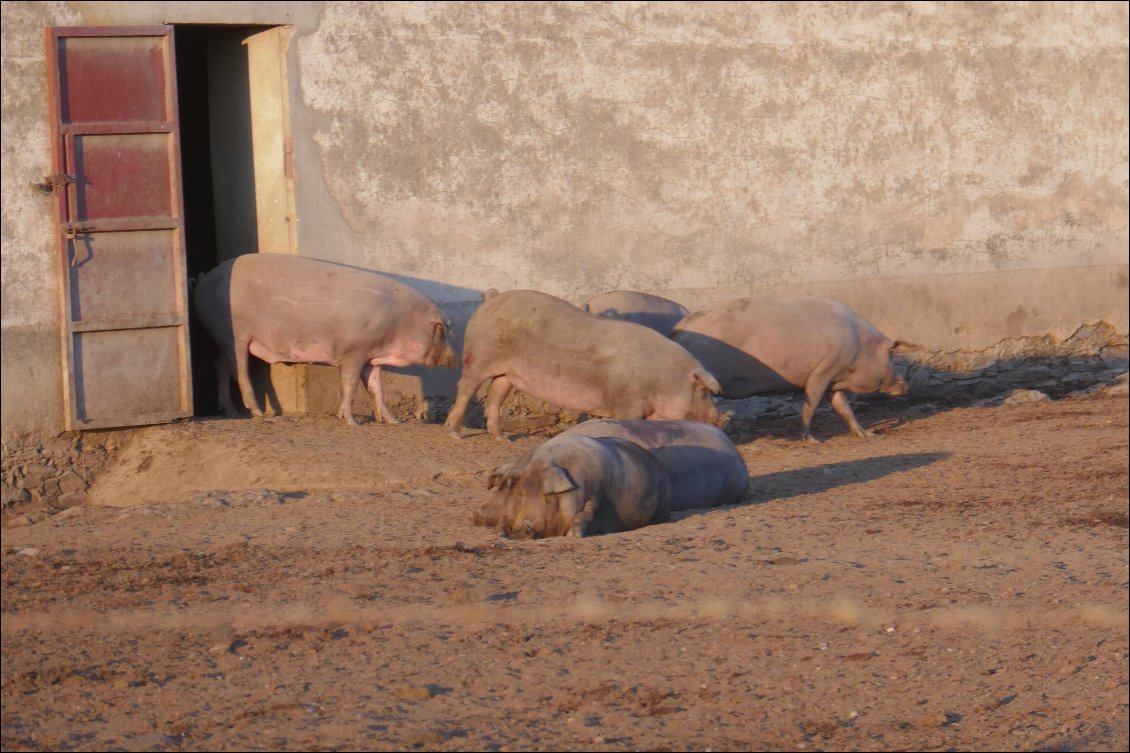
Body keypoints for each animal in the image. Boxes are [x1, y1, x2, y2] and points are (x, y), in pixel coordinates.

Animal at [192, 252, 456, 425]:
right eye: (444, 329)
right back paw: (259, 413)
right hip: (233, 333)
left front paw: (393, 422)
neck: (399, 321)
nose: (455, 361)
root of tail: (203, 280)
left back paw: (232, 414)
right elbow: (349, 383)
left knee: (220, 365)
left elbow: (376, 387)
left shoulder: (371, 357)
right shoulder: (354, 351)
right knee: (239, 370)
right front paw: (351, 422)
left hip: (222, 338)